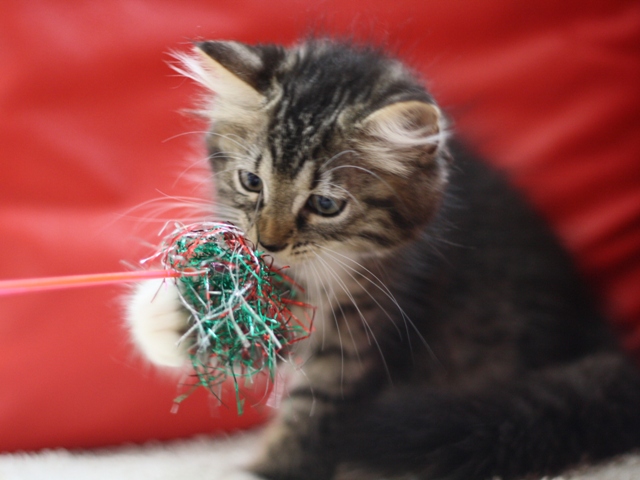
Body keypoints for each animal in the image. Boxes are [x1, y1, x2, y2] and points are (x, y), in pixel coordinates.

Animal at [127, 41, 640, 480]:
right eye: (251, 182)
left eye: (326, 205)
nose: (268, 243)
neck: (328, 264)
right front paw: (169, 317)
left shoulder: (364, 333)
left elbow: (311, 417)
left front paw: (268, 468)